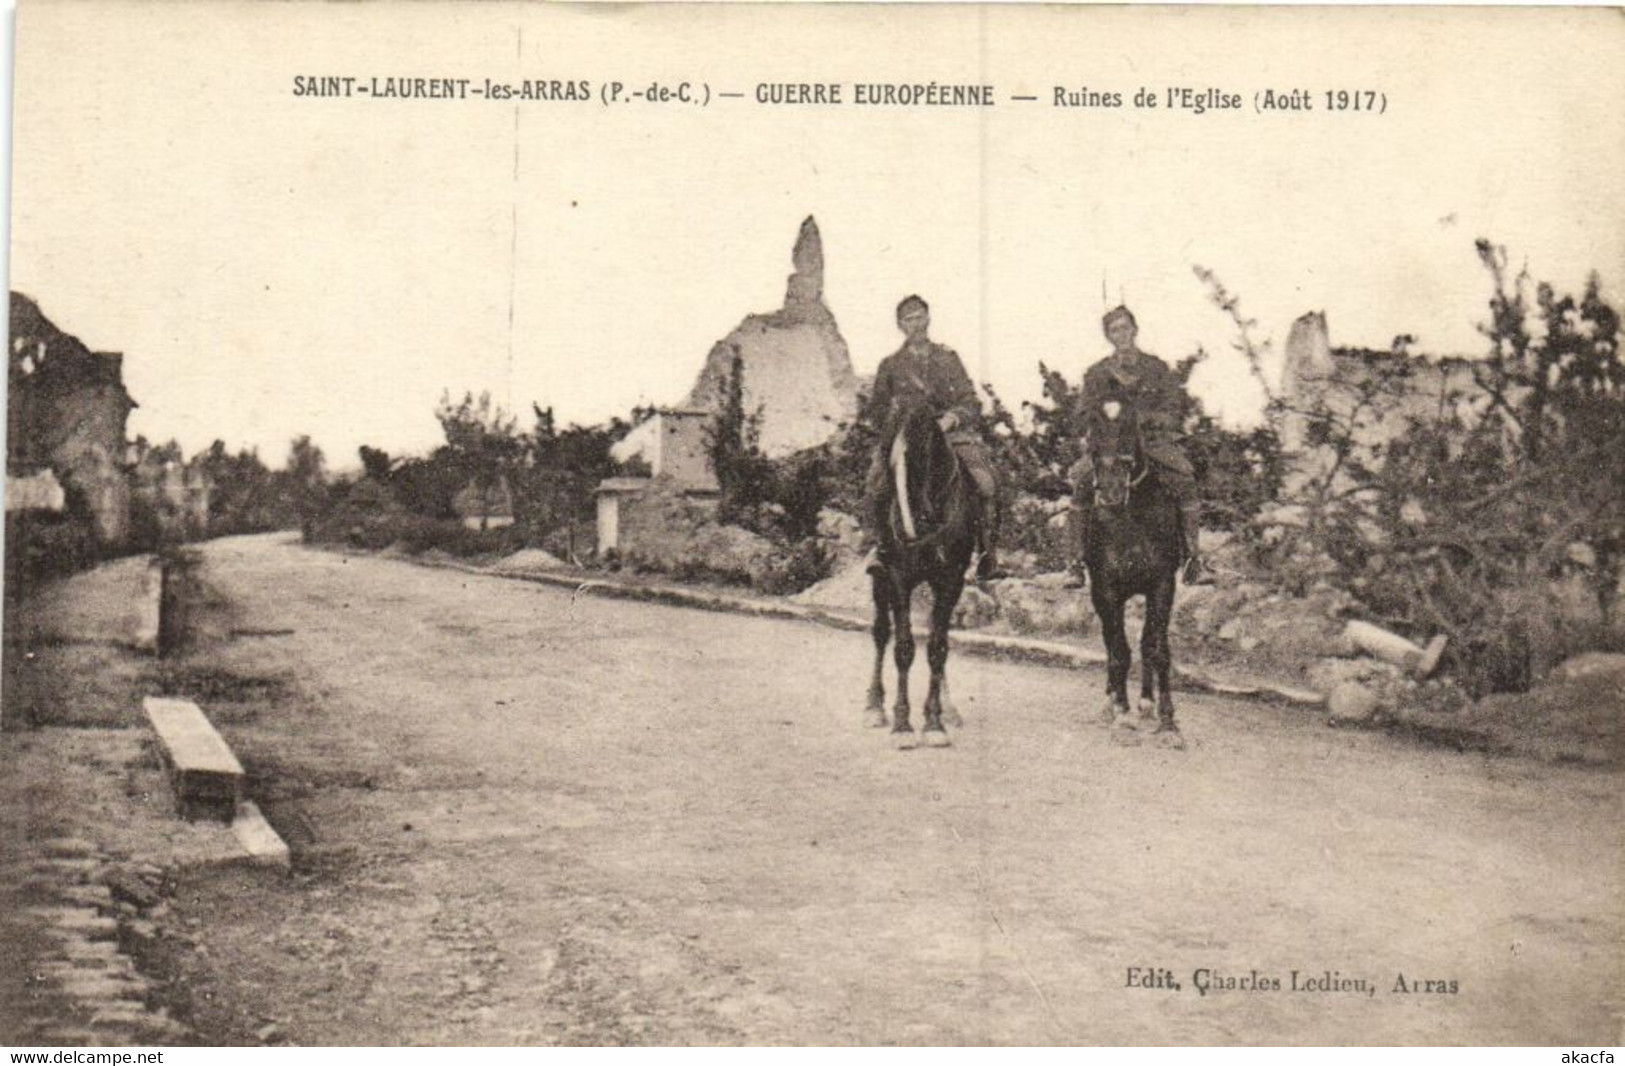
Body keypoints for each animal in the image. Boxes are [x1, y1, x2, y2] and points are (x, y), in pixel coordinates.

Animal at [864, 399, 975, 750]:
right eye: (886, 457)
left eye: (922, 453)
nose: (908, 532)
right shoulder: (899, 579)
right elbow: (903, 648)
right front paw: (902, 724)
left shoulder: (950, 583)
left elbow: (938, 649)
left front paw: (935, 722)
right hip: (881, 581)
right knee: (881, 633)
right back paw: (874, 706)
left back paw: (950, 710)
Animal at [1072, 399, 1189, 750]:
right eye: (1093, 436)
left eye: (1129, 431)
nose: (1109, 493)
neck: (1132, 519)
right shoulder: (1106, 590)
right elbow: (1119, 652)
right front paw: (1122, 717)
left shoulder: (1162, 586)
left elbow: (1157, 649)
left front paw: (1168, 722)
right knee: (1112, 645)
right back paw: (1111, 702)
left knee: (1145, 641)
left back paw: (1146, 704)